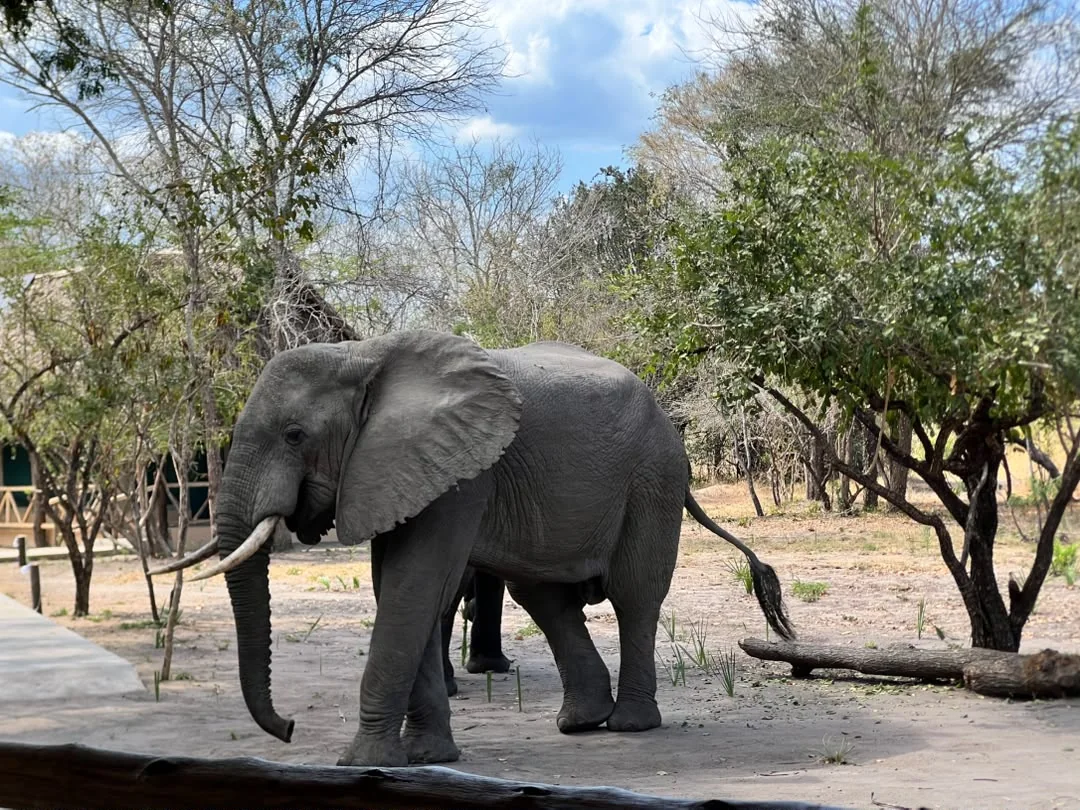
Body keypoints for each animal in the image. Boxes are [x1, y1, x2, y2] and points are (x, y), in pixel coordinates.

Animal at [169, 329, 794, 768]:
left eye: (295, 435)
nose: (289, 728)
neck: (364, 355)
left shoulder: (460, 473)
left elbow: (415, 584)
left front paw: (364, 763)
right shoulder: (400, 470)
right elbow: (401, 588)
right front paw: (427, 759)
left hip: (653, 479)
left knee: (633, 597)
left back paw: (629, 726)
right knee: (545, 598)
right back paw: (579, 723)